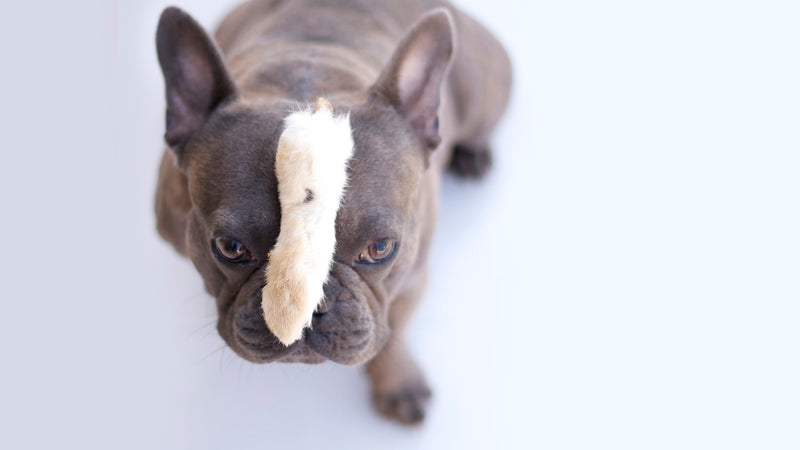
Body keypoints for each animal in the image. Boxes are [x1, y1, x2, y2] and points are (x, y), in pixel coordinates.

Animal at [153, 0, 510, 426]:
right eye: (231, 248)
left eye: (380, 249)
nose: (307, 310)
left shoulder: (412, 277)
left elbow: (395, 329)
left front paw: (398, 381)